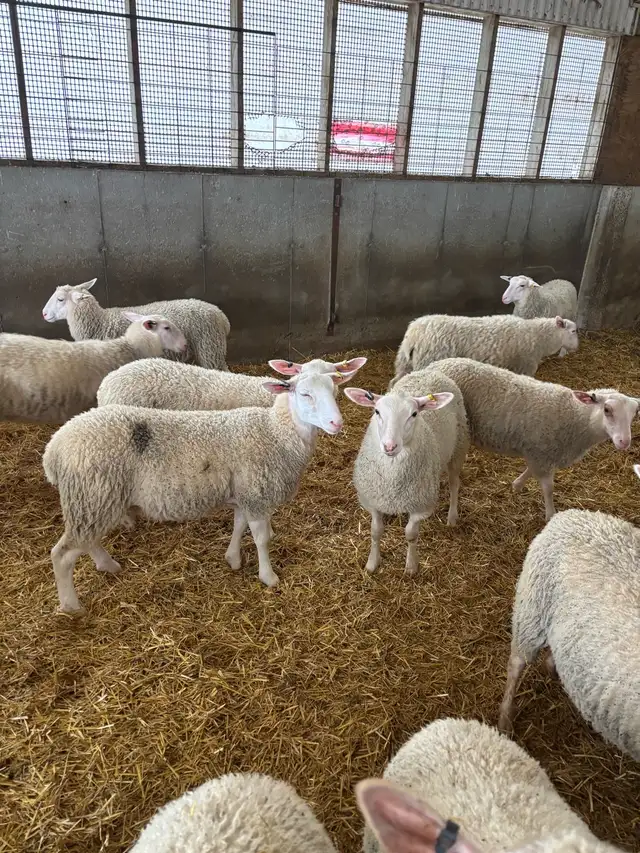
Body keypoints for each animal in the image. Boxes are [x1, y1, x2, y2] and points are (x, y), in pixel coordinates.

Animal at [42, 357, 366, 614]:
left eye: (335, 391)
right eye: (305, 393)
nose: (336, 423)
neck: (275, 431)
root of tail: (53, 448)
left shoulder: (244, 493)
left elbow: (239, 525)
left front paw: (233, 558)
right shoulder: (257, 493)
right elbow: (261, 539)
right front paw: (268, 576)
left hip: (94, 499)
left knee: (87, 540)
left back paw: (108, 565)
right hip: (94, 494)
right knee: (62, 555)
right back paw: (71, 605)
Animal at [344, 367, 468, 576]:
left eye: (414, 414)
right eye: (377, 411)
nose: (390, 446)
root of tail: (430, 370)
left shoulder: (420, 504)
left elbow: (411, 535)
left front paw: (411, 566)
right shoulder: (373, 499)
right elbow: (375, 531)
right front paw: (372, 563)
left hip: (458, 449)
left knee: (454, 484)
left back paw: (452, 516)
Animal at [391, 315, 578, 387]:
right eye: (574, 331)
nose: (577, 347)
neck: (538, 337)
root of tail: (414, 333)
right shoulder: (526, 366)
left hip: (405, 362)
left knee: (396, 382)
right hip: (425, 362)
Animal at [428, 358, 639, 520]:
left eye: (634, 413)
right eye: (607, 410)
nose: (625, 442)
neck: (576, 417)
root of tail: (436, 364)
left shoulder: (540, 452)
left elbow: (530, 470)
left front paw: (517, 485)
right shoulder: (541, 452)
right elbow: (548, 488)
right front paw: (550, 515)